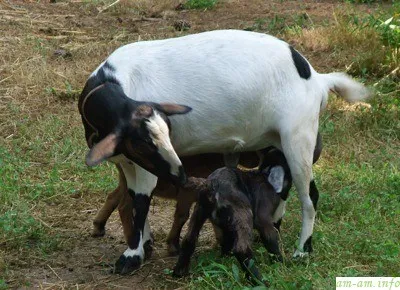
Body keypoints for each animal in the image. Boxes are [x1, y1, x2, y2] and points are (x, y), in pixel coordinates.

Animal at [78, 28, 368, 274]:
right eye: (141, 142)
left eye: (168, 129)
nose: (181, 175)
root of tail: (317, 78)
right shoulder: (130, 160)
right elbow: (133, 198)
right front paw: (143, 247)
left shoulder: (146, 166)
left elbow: (141, 201)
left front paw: (131, 256)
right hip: (275, 146)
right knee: (282, 188)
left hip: (299, 137)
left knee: (310, 197)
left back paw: (302, 251)